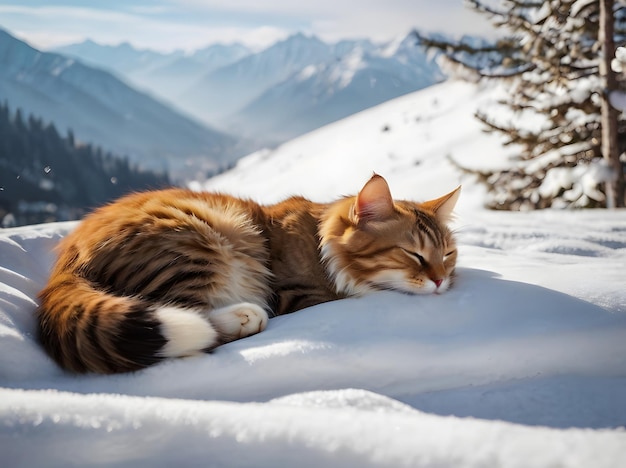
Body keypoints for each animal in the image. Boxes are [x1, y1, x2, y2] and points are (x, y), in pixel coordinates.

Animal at [36, 174, 460, 374]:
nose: (441, 280)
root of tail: (66, 262)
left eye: (448, 255)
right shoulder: (296, 293)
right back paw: (243, 317)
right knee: (195, 326)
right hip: (201, 237)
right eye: (413, 255)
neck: (320, 242)